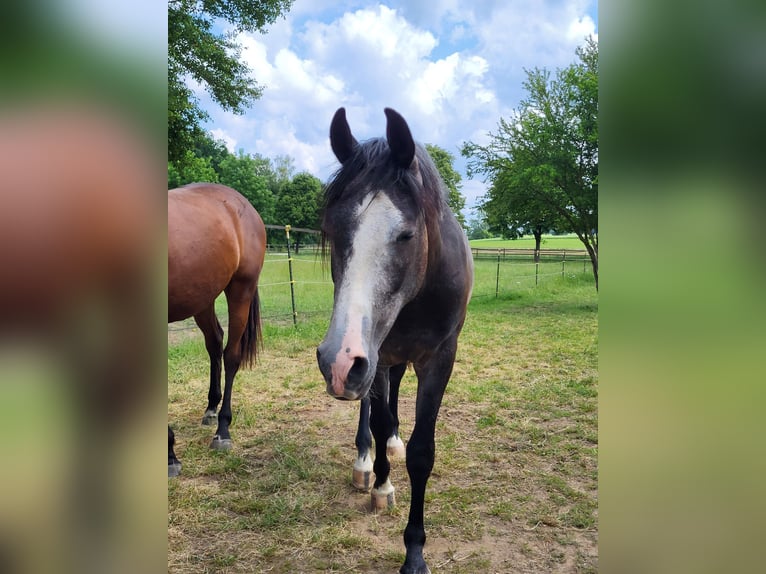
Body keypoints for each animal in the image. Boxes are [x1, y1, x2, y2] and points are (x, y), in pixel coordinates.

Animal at [168, 183, 268, 476]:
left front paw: (170, 454)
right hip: (202, 298)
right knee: (215, 342)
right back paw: (211, 407)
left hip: (240, 290)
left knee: (231, 354)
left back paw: (223, 429)